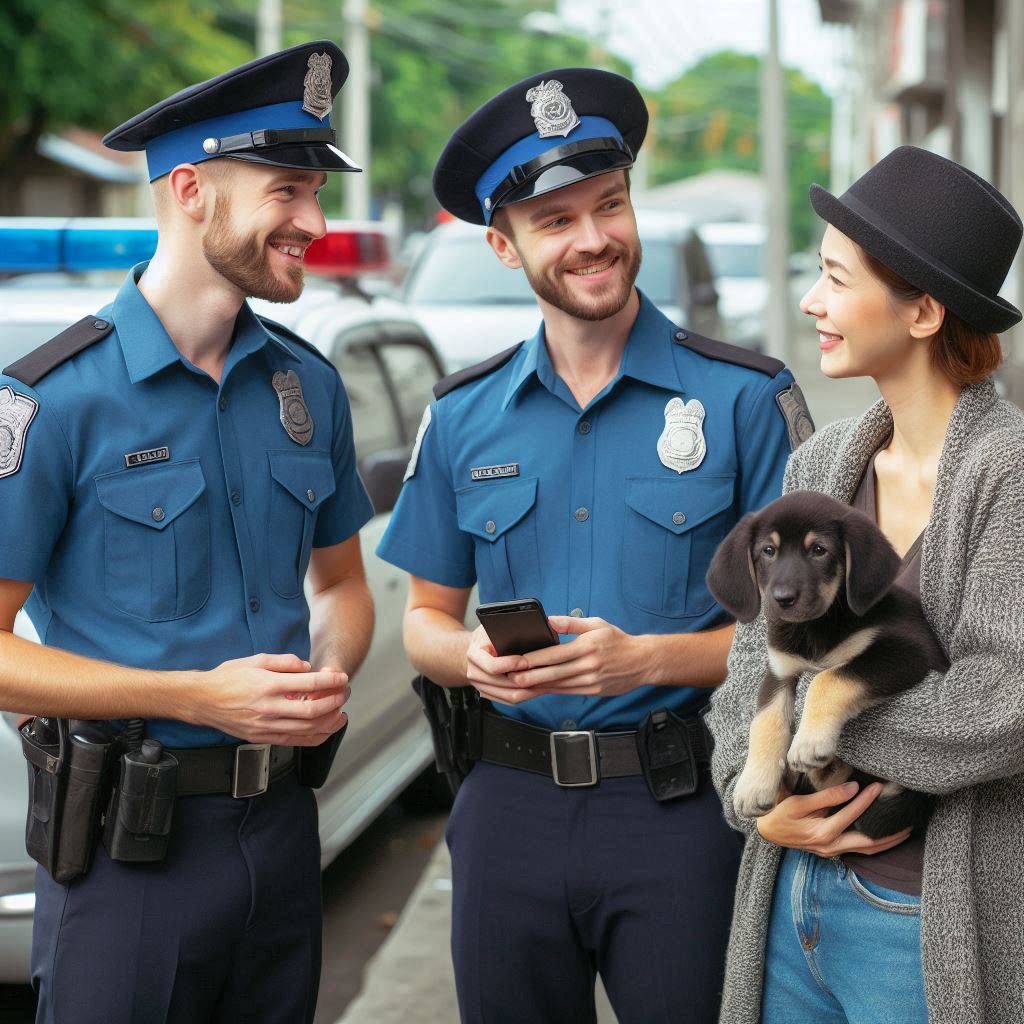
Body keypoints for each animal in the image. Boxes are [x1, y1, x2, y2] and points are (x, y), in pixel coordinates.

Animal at [708, 489, 946, 839]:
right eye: (768, 551)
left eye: (819, 550)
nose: (782, 598)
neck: (814, 629)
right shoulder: (780, 669)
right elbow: (764, 721)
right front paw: (754, 785)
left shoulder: (907, 651)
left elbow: (828, 679)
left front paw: (809, 743)